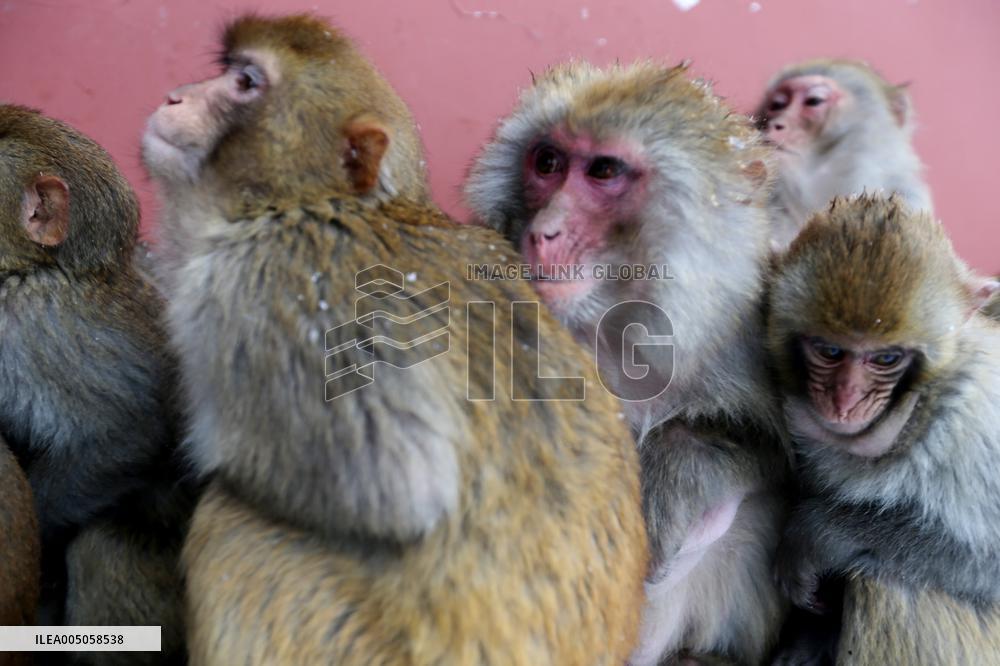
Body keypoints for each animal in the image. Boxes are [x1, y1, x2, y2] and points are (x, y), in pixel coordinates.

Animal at [141, 14, 647, 664]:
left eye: (245, 82)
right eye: (228, 70)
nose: (175, 96)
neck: (307, 201)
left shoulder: (274, 280)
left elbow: (396, 486)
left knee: (231, 517)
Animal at [766, 194, 1000, 664]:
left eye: (885, 359)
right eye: (830, 351)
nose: (845, 400)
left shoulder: (978, 428)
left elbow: (991, 567)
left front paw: (823, 534)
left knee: (886, 582)